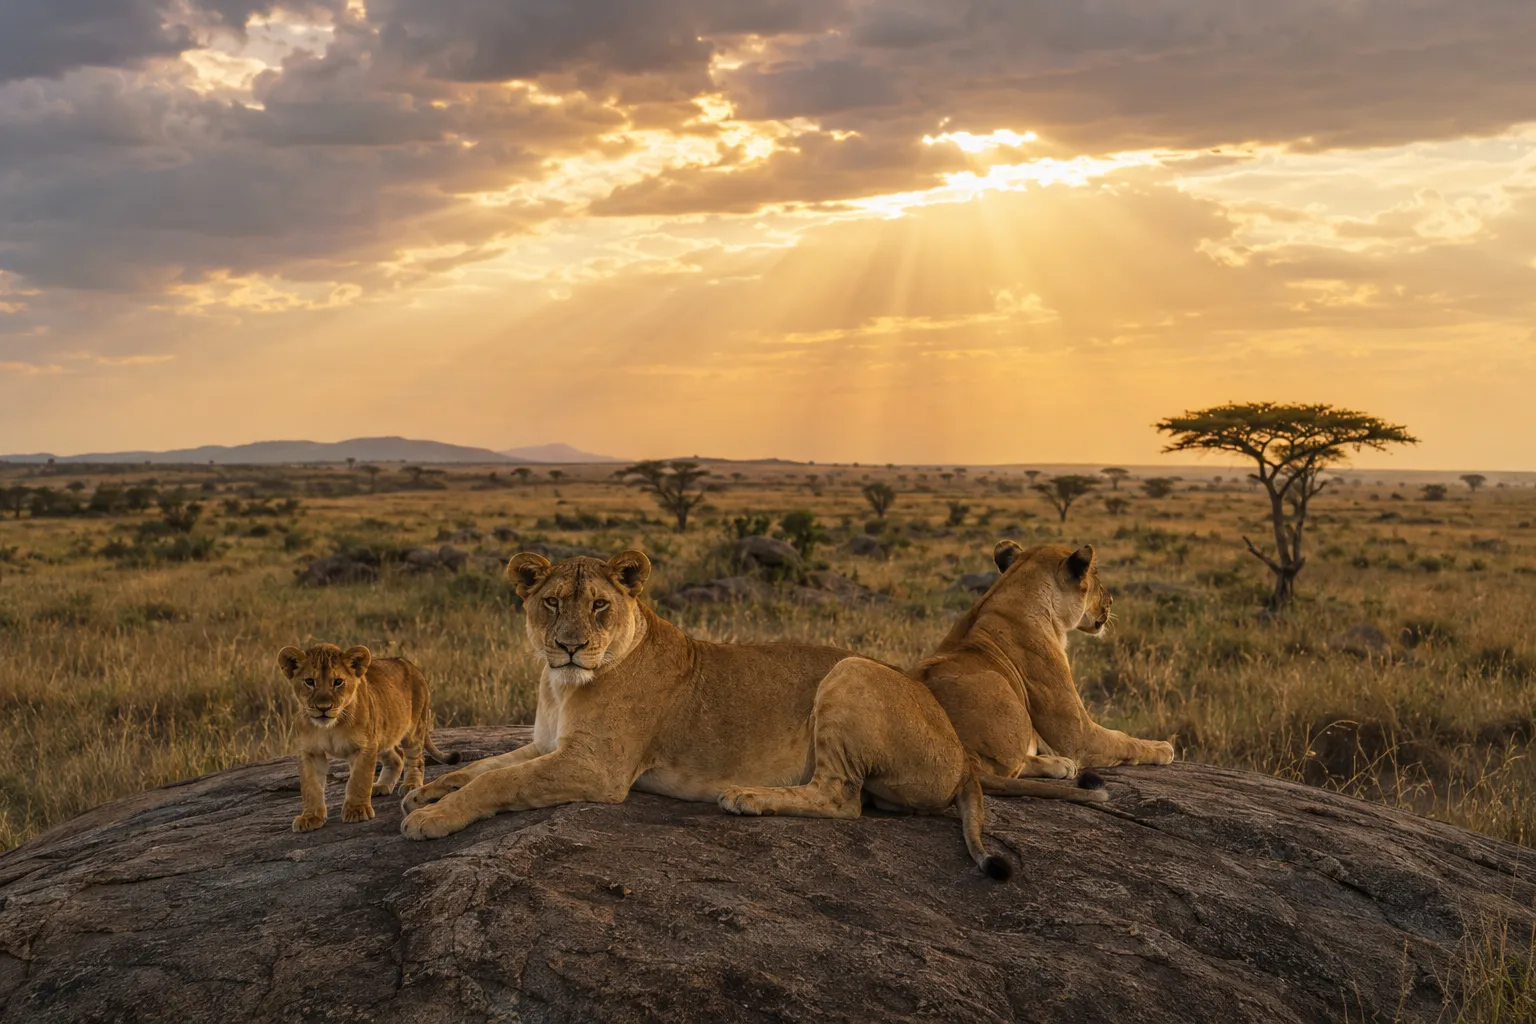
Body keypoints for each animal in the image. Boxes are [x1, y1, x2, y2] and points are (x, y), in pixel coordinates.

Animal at [277, 643, 457, 832]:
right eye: (310, 682)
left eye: (338, 682)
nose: (323, 708)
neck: (330, 727)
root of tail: (411, 665)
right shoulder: (311, 752)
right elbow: (310, 786)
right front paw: (310, 817)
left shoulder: (364, 746)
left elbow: (359, 779)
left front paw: (357, 811)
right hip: (383, 735)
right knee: (397, 757)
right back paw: (381, 786)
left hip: (413, 729)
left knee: (416, 758)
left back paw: (410, 785)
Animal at [399, 551, 1103, 877]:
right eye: (550, 603)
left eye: (599, 605)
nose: (569, 644)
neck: (562, 686)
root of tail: (962, 759)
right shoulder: (547, 742)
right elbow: (488, 763)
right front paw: (425, 790)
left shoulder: (596, 768)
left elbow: (499, 781)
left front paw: (431, 818)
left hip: (848, 673)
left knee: (842, 800)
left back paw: (748, 799)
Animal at [915, 541, 1176, 773]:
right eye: (1095, 578)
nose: (1111, 600)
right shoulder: (1079, 735)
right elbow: (1124, 740)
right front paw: (1162, 747)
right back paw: (1059, 764)